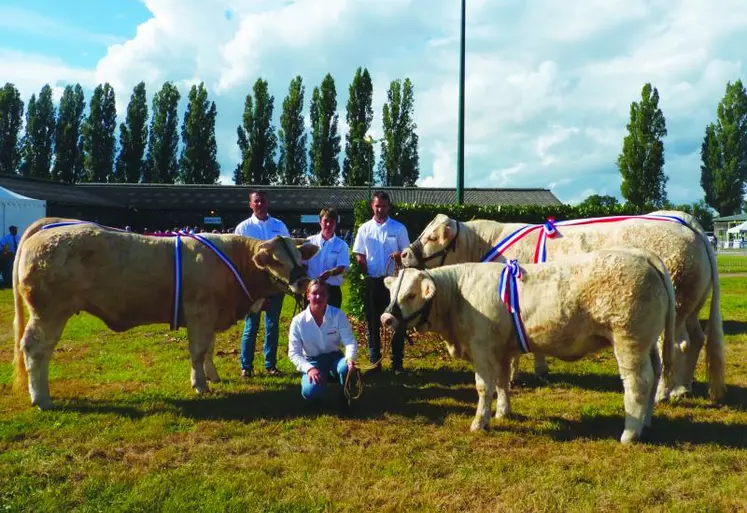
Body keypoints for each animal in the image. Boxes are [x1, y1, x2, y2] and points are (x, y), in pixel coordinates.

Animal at [12, 218, 318, 410]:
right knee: (35, 349)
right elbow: (198, 350)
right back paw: (42, 399)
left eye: (301, 259)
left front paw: (213, 376)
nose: (303, 281)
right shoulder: (200, 312)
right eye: (277, 260)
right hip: (49, 312)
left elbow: (209, 348)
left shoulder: (211, 314)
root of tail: (46, 228)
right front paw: (200, 385)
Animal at [382, 250, 680, 442]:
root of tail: (641, 255)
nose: (386, 319)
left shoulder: (482, 348)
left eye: (410, 295)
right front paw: (503, 412)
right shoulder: (501, 350)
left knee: (638, 383)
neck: (458, 295)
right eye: (391, 293)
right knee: (655, 374)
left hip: (629, 341)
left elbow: (484, 386)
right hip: (648, 343)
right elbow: (503, 383)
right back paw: (646, 423)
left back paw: (629, 433)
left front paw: (480, 422)